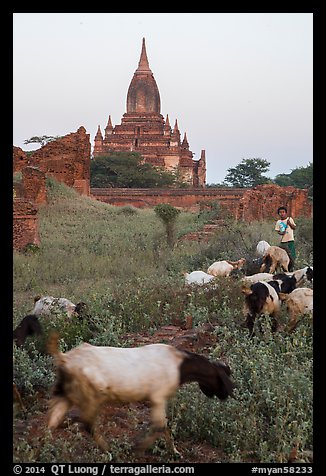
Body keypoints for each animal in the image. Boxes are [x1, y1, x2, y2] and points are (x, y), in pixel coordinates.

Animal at [46, 332, 234, 456]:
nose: (227, 394)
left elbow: (161, 427)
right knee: (87, 424)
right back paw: (109, 450)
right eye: (223, 379)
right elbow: (161, 427)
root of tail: (65, 359)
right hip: (91, 397)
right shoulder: (159, 398)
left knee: (51, 424)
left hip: (65, 395)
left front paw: (173, 452)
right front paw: (141, 450)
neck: (180, 365)